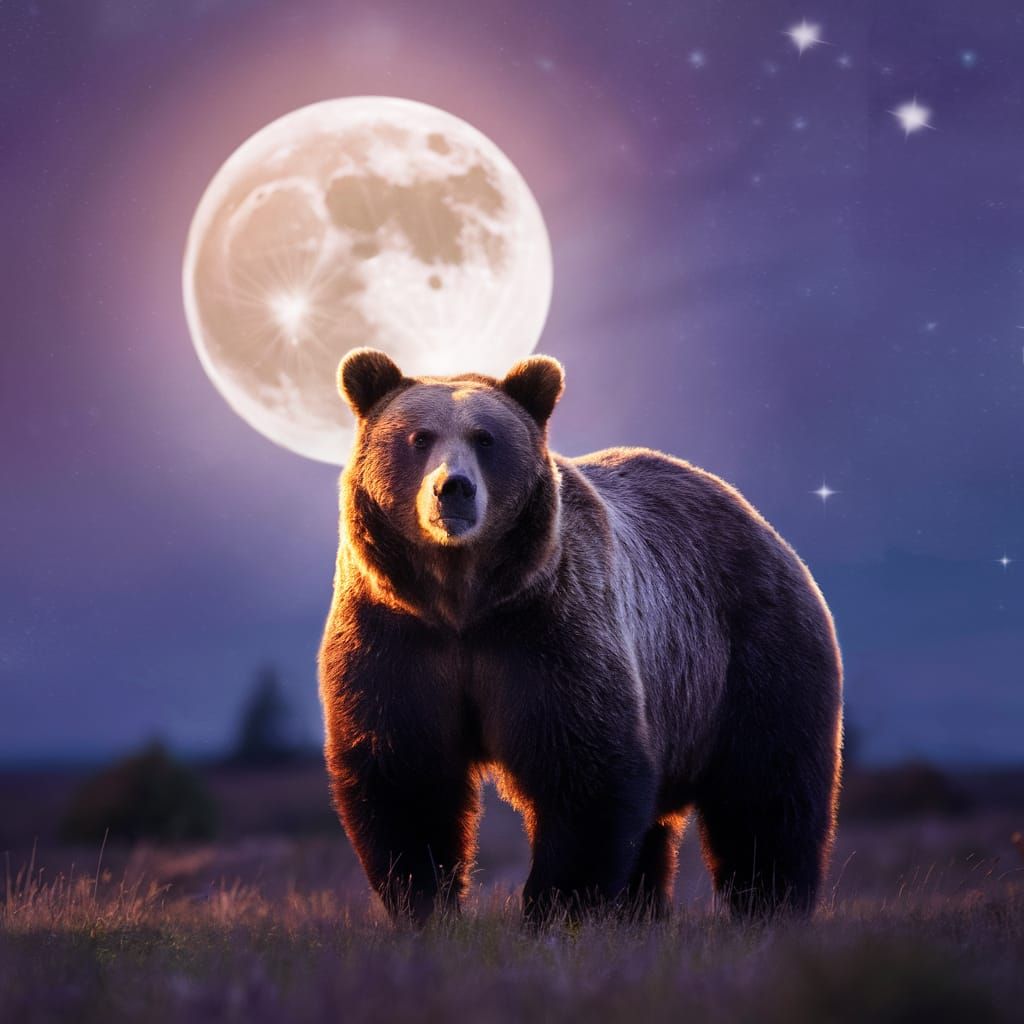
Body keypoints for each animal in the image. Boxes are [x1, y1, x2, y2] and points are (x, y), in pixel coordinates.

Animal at [318, 347, 843, 925]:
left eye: (485, 439)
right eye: (419, 437)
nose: (453, 488)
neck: (462, 601)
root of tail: (762, 526)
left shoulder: (549, 631)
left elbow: (584, 770)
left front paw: (555, 907)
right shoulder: (395, 636)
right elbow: (405, 774)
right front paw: (425, 904)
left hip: (750, 654)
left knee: (767, 792)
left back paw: (770, 905)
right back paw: (643, 912)